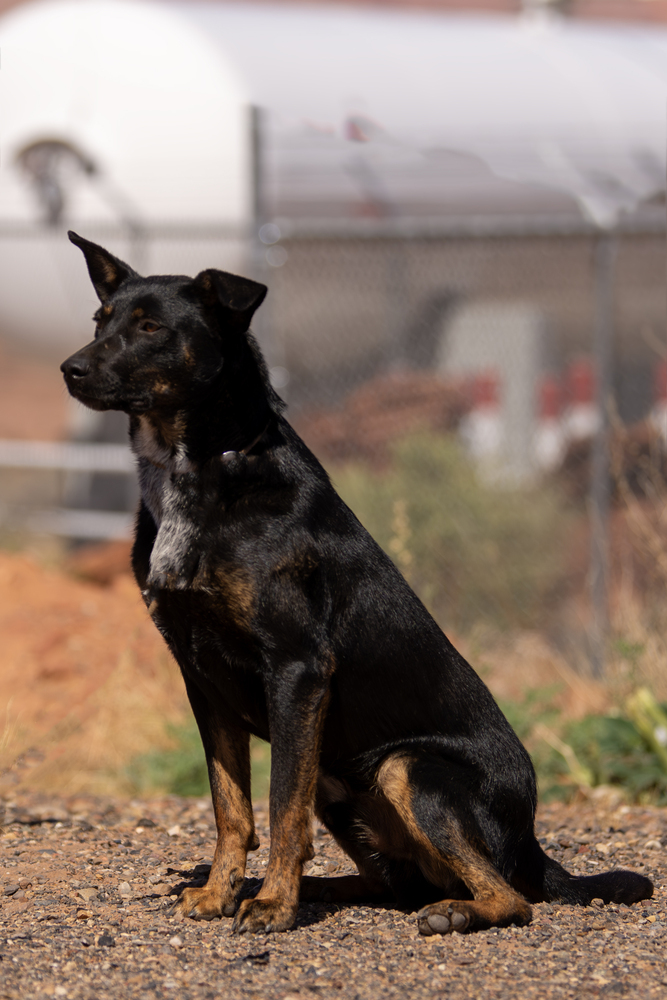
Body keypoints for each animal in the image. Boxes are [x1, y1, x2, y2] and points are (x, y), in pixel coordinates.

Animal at [60, 234, 656, 936]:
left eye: (151, 328)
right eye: (100, 321)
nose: (70, 369)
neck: (205, 469)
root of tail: (533, 843)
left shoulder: (297, 669)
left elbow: (279, 806)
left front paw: (272, 907)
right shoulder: (201, 677)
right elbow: (231, 807)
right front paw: (221, 892)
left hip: (409, 767)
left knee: (509, 897)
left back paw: (445, 912)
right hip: (341, 787)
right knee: (398, 885)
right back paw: (318, 890)